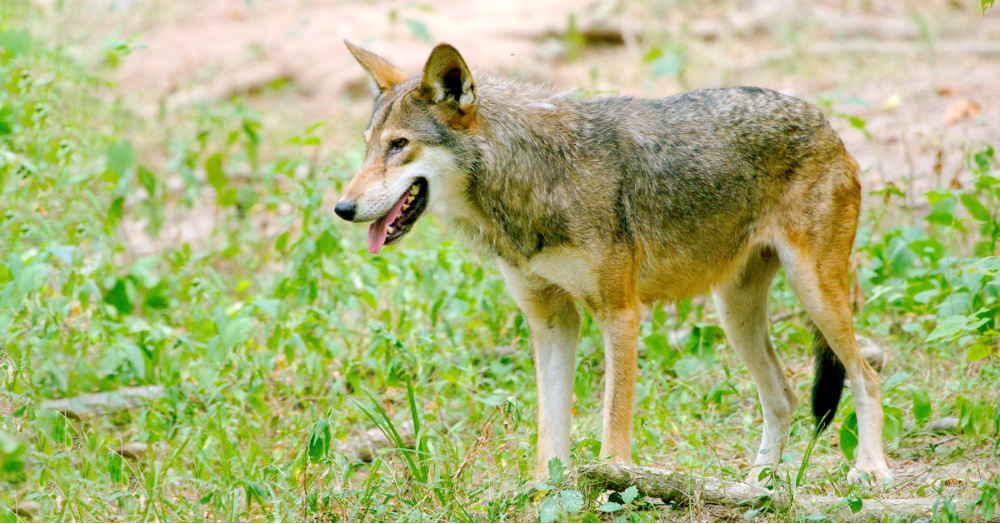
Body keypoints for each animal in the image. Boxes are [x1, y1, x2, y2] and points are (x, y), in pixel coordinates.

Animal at [334, 40, 893, 486]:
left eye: (399, 145)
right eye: (366, 148)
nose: (342, 208)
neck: (531, 180)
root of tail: (825, 122)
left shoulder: (620, 313)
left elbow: (613, 426)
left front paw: (614, 485)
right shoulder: (551, 321)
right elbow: (550, 429)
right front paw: (546, 492)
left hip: (812, 291)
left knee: (865, 375)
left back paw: (870, 470)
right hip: (734, 313)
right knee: (784, 398)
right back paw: (758, 484)